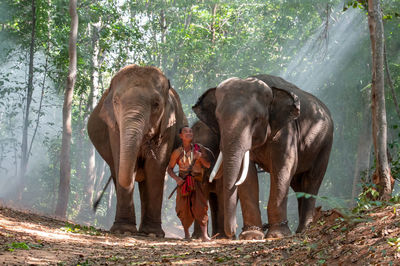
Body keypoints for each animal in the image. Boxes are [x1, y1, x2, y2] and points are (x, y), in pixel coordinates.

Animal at [87, 64, 186, 237]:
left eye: (156, 104)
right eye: (116, 101)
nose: (94, 205)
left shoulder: (168, 128)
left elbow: (155, 170)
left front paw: (153, 234)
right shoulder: (114, 129)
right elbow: (121, 162)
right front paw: (123, 231)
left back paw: (145, 232)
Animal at [192, 74, 332, 239]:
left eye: (257, 119)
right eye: (218, 119)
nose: (233, 230)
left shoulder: (286, 132)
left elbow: (283, 168)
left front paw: (277, 235)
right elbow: (247, 174)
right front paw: (251, 235)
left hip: (325, 145)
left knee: (312, 180)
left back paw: (305, 229)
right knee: (298, 184)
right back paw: (299, 230)